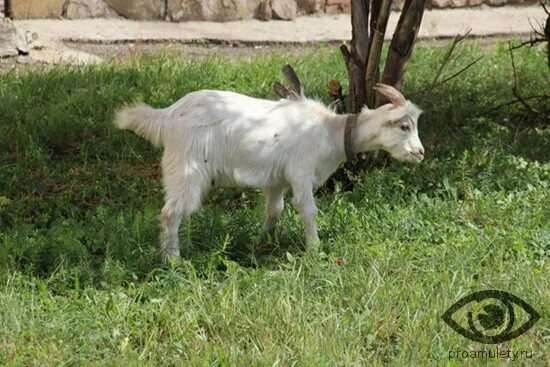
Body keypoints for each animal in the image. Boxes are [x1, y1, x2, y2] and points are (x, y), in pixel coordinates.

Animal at [115, 85, 426, 260]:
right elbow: (308, 210)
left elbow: (274, 211)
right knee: (170, 213)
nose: (420, 153)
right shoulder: (300, 173)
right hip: (186, 170)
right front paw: (314, 250)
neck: (330, 131)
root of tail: (166, 116)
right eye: (404, 126)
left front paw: (262, 242)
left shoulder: (277, 180)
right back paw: (173, 259)